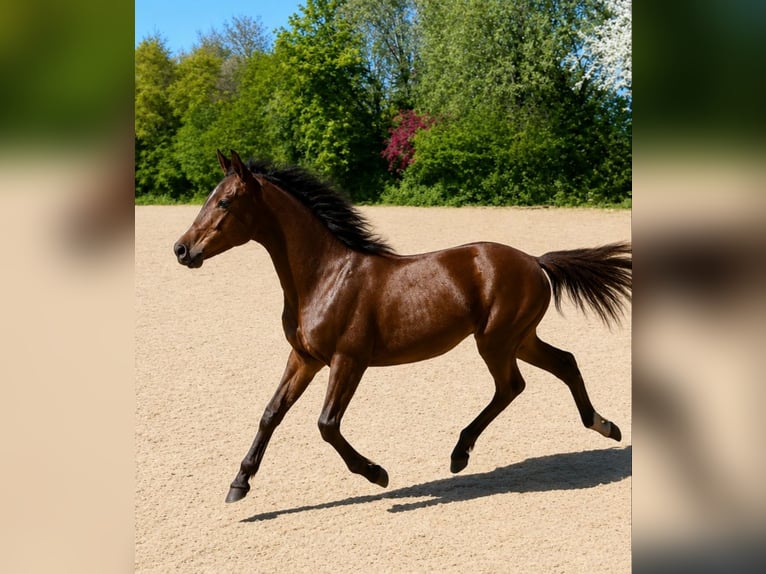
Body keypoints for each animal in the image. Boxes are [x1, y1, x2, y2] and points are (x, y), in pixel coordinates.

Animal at [174, 150, 631, 504]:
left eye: (225, 202)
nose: (181, 249)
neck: (325, 276)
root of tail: (535, 261)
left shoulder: (348, 360)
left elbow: (326, 424)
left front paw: (377, 474)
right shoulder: (304, 358)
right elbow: (271, 414)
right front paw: (239, 484)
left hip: (496, 341)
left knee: (512, 385)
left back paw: (460, 454)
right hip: (519, 339)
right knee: (562, 363)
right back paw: (604, 426)